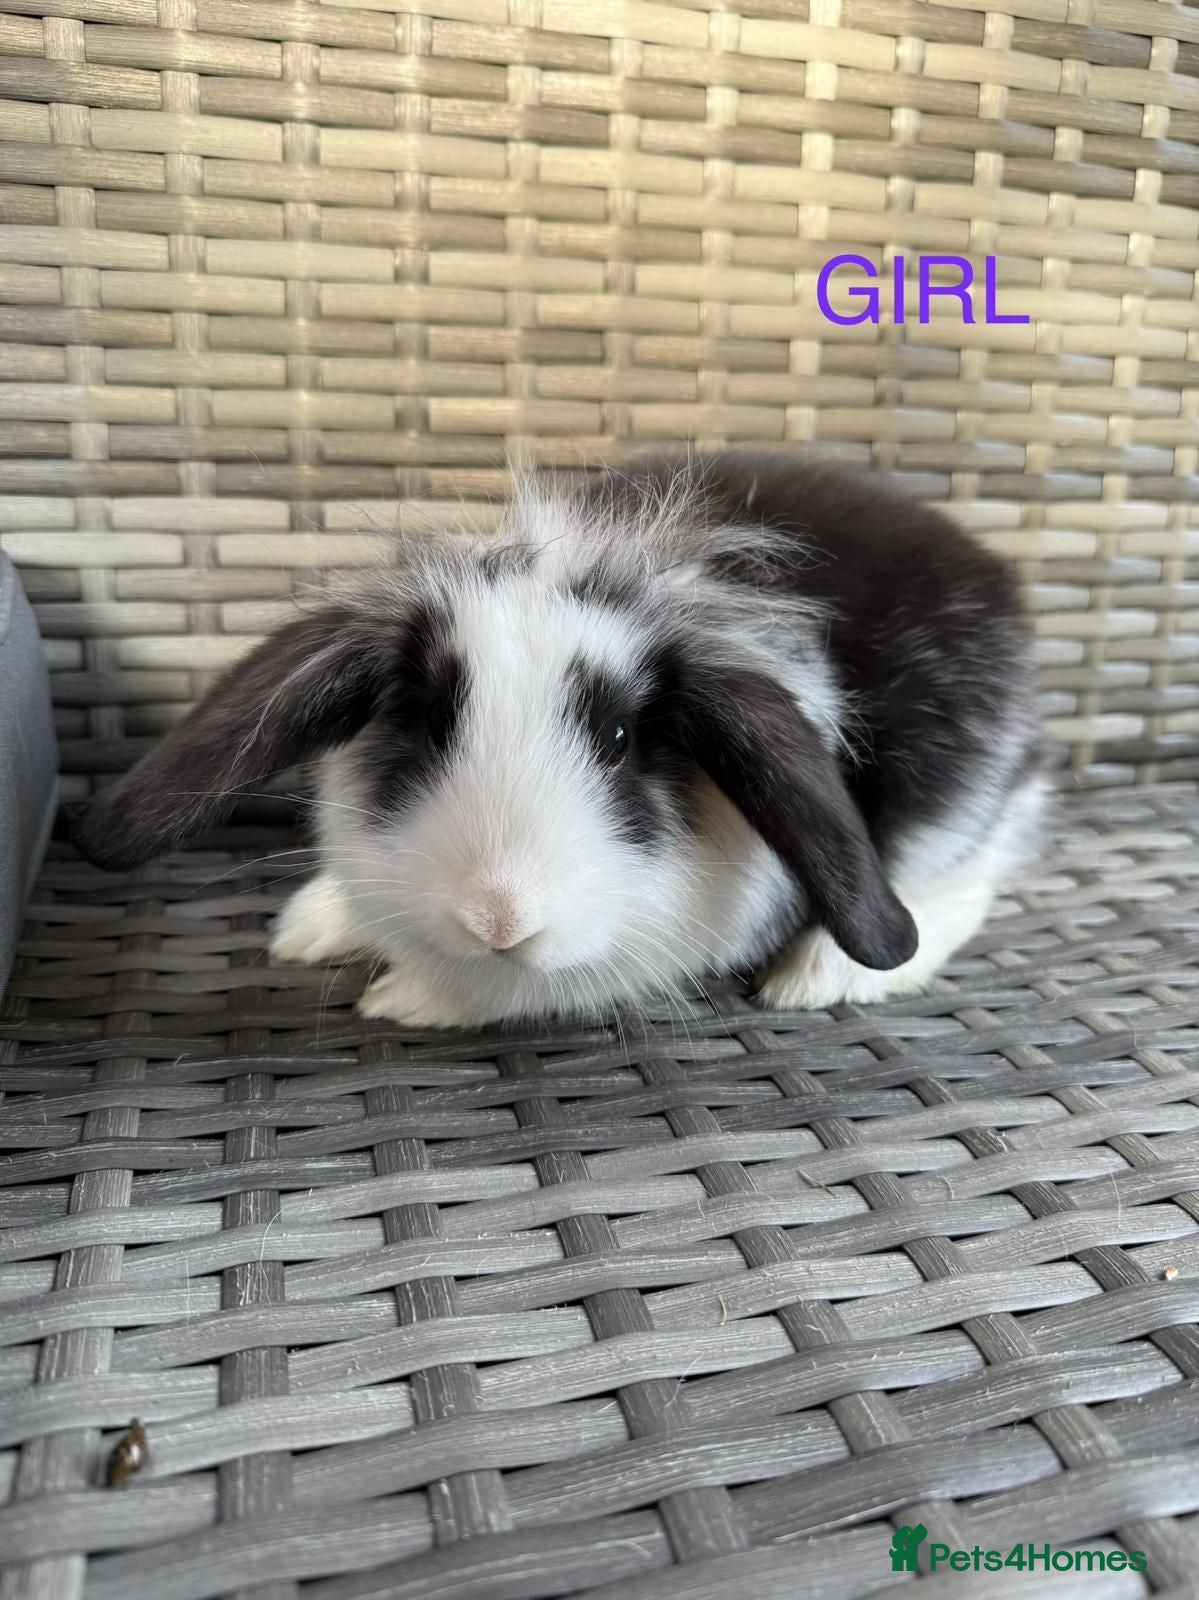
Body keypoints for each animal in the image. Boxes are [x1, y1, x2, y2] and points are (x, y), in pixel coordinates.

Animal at [73, 452, 1046, 1027]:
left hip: (955, 804)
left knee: (963, 882)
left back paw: (821, 976)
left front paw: (410, 997)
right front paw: (322, 928)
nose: (497, 918)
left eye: (617, 738)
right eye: (429, 723)